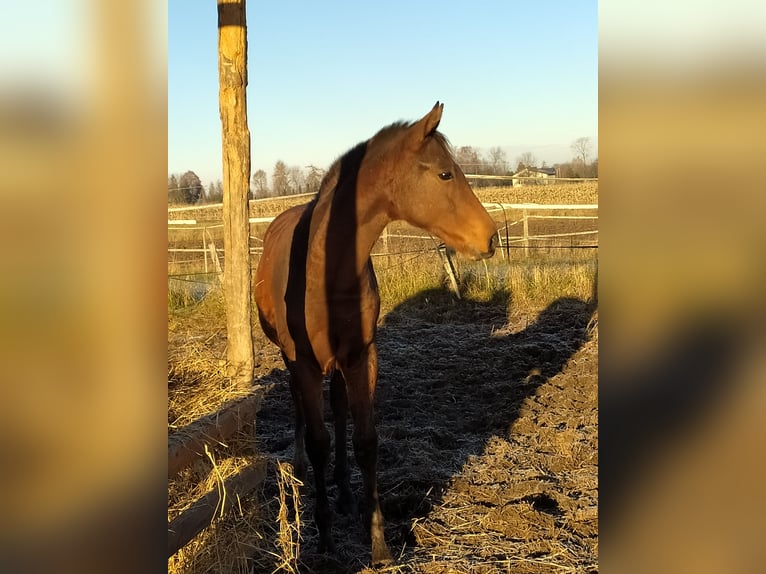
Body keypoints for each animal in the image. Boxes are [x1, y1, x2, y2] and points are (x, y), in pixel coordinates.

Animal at [254, 102, 497, 565]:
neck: (324, 270)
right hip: (294, 362)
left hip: (338, 365)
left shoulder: (361, 355)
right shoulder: (305, 363)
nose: (490, 238)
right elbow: (319, 441)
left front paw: (378, 544)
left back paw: (345, 494)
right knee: (301, 413)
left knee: (339, 408)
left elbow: (365, 440)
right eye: (445, 174)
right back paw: (300, 468)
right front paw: (325, 539)